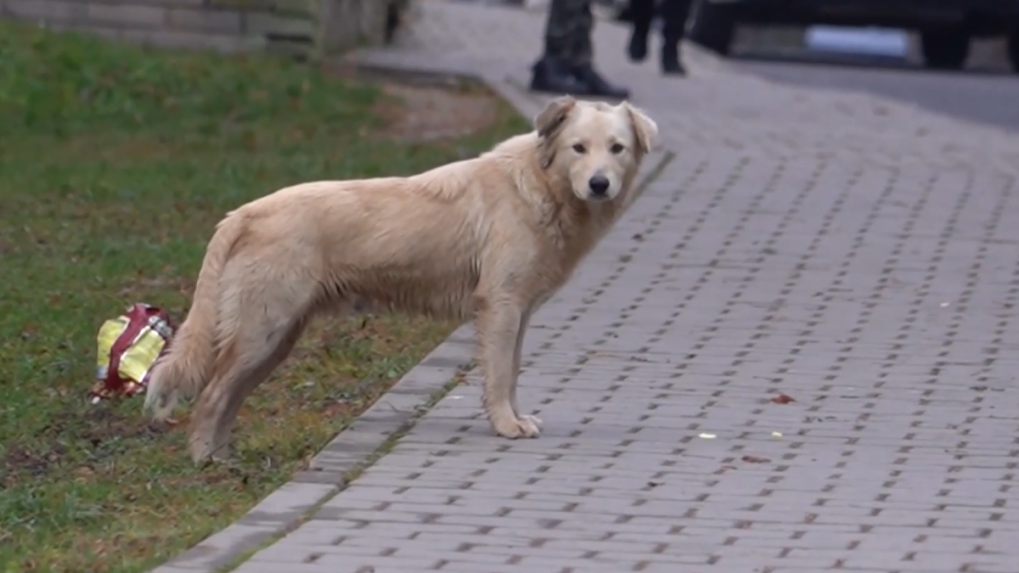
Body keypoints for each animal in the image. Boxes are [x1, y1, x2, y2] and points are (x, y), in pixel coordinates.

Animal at [145, 93, 660, 458]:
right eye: (579, 148)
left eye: (617, 149)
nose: (599, 184)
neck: (540, 184)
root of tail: (245, 212)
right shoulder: (501, 307)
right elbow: (498, 375)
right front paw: (505, 425)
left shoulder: (519, 312)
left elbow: (511, 372)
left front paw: (512, 418)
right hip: (262, 330)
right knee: (211, 397)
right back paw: (205, 465)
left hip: (275, 339)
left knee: (227, 398)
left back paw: (223, 460)